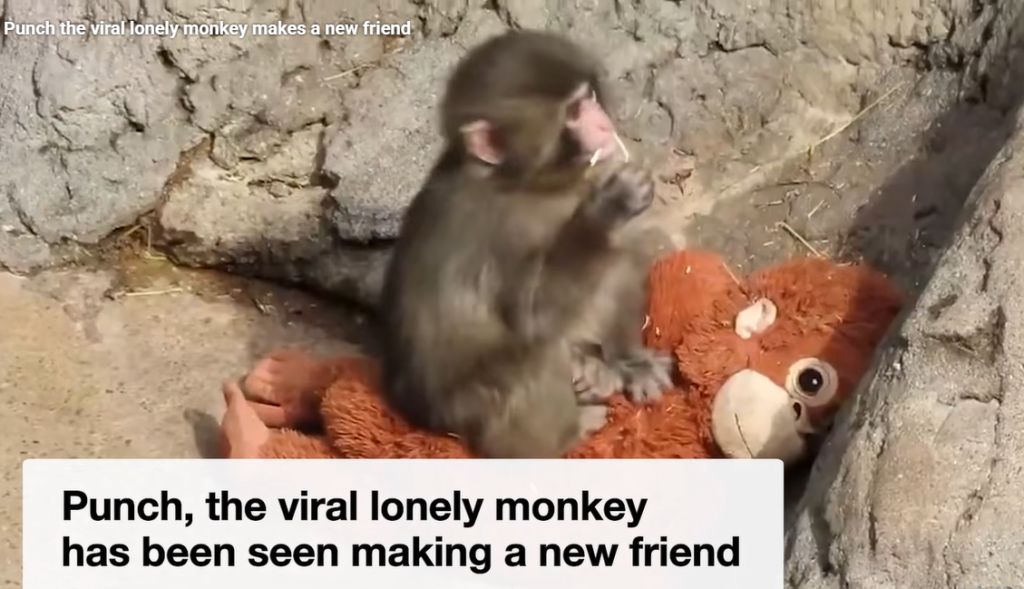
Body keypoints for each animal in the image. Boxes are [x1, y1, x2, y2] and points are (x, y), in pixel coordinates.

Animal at [375, 29, 675, 459]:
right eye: (573, 112)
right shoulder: (498, 232)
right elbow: (533, 312)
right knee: (531, 362)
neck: (527, 184)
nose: (604, 124)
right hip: (463, 413)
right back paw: (569, 433)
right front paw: (608, 209)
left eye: (589, 97)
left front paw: (630, 361)